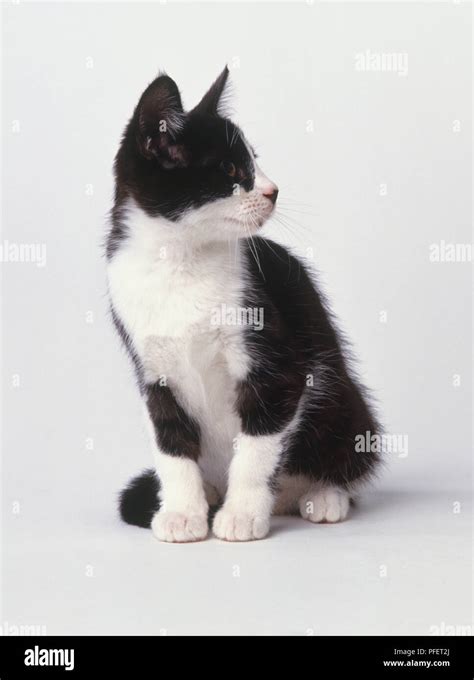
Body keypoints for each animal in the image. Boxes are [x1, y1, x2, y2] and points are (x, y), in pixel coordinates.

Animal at [107, 67, 382, 540]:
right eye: (231, 169)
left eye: (254, 160)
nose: (273, 191)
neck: (180, 259)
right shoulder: (152, 370)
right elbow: (169, 443)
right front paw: (182, 513)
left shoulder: (278, 361)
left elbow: (258, 447)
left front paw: (242, 514)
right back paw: (210, 494)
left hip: (344, 406)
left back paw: (324, 495)